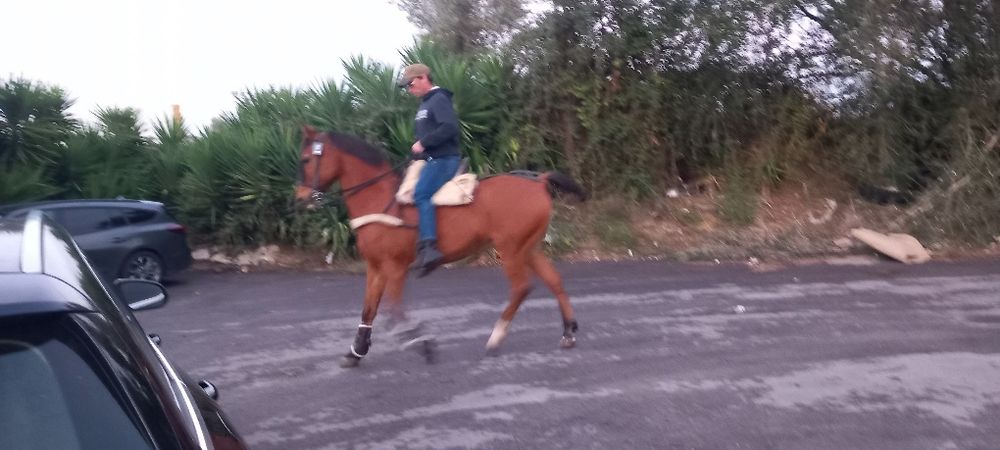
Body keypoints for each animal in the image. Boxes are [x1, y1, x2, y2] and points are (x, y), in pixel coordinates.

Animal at [294, 126, 585, 367]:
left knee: (521, 287)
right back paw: (568, 332)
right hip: (529, 248)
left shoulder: (395, 267)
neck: (380, 199)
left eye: (306, 159)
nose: (299, 198)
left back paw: (496, 337)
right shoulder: (375, 267)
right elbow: (369, 309)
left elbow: (394, 310)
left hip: (511, 249)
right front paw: (356, 352)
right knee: (554, 280)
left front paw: (422, 344)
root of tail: (539, 181)